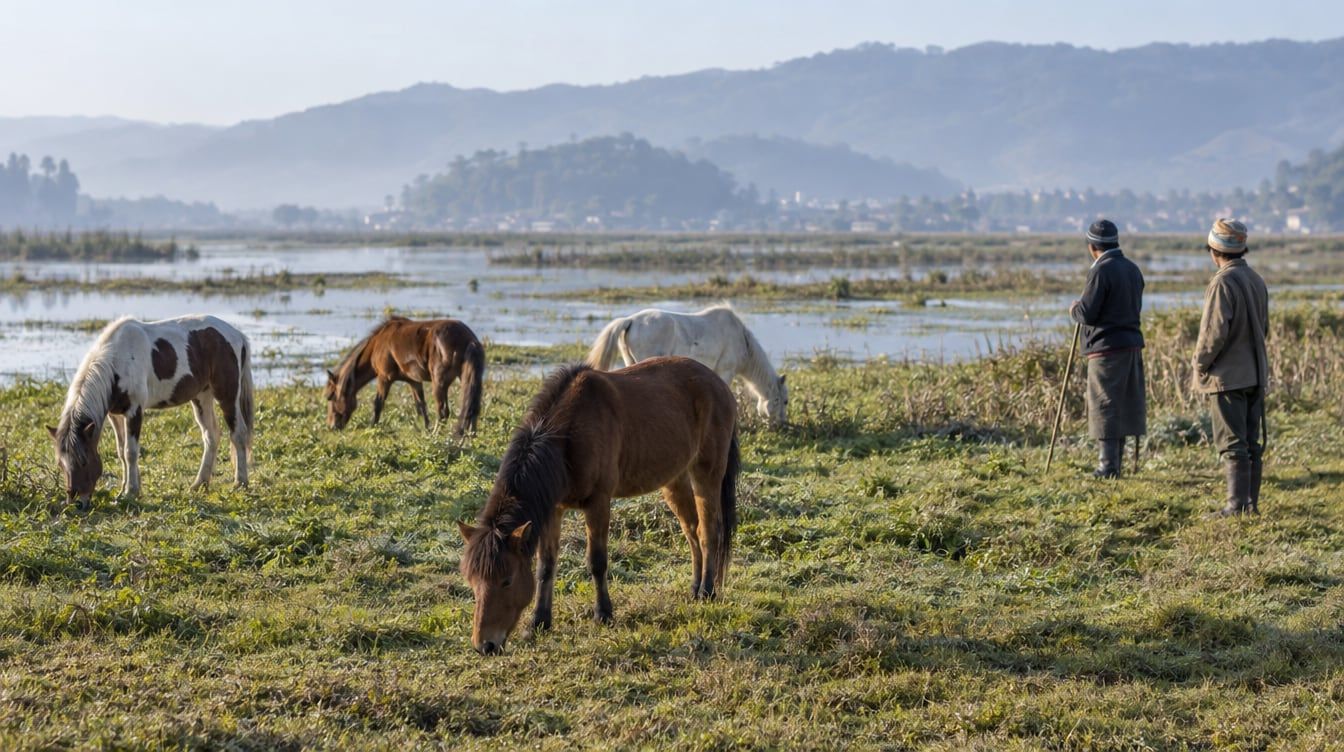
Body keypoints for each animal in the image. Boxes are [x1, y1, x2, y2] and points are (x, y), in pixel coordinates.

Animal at [49, 315, 254, 507]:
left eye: (83, 461)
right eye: (60, 463)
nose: (76, 503)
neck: (117, 362)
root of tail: (236, 334)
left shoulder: (134, 411)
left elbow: (130, 451)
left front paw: (131, 492)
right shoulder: (115, 415)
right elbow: (121, 452)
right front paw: (125, 490)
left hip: (227, 395)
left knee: (238, 434)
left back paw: (240, 483)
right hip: (201, 397)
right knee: (211, 436)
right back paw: (199, 484)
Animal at [326, 316, 484, 436]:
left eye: (331, 397)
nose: (332, 427)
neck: (378, 344)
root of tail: (470, 339)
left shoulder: (384, 378)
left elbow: (378, 404)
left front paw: (372, 427)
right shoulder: (414, 381)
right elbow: (421, 406)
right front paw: (426, 429)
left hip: (439, 383)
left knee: (443, 411)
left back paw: (437, 434)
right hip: (467, 378)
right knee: (472, 406)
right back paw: (471, 435)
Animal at [458, 357, 739, 655]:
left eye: (506, 581)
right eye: (472, 581)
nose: (485, 645)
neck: (567, 436)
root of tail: (718, 383)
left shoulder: (598, 503)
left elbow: (597, 561)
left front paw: (603, 614)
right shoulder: (554, 509)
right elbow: (546, 565)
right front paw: (539, 621)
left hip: (707, 472)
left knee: (708, 532)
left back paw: (707, 591)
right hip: (675, 480)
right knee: (692, 531)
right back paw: (695, 588)